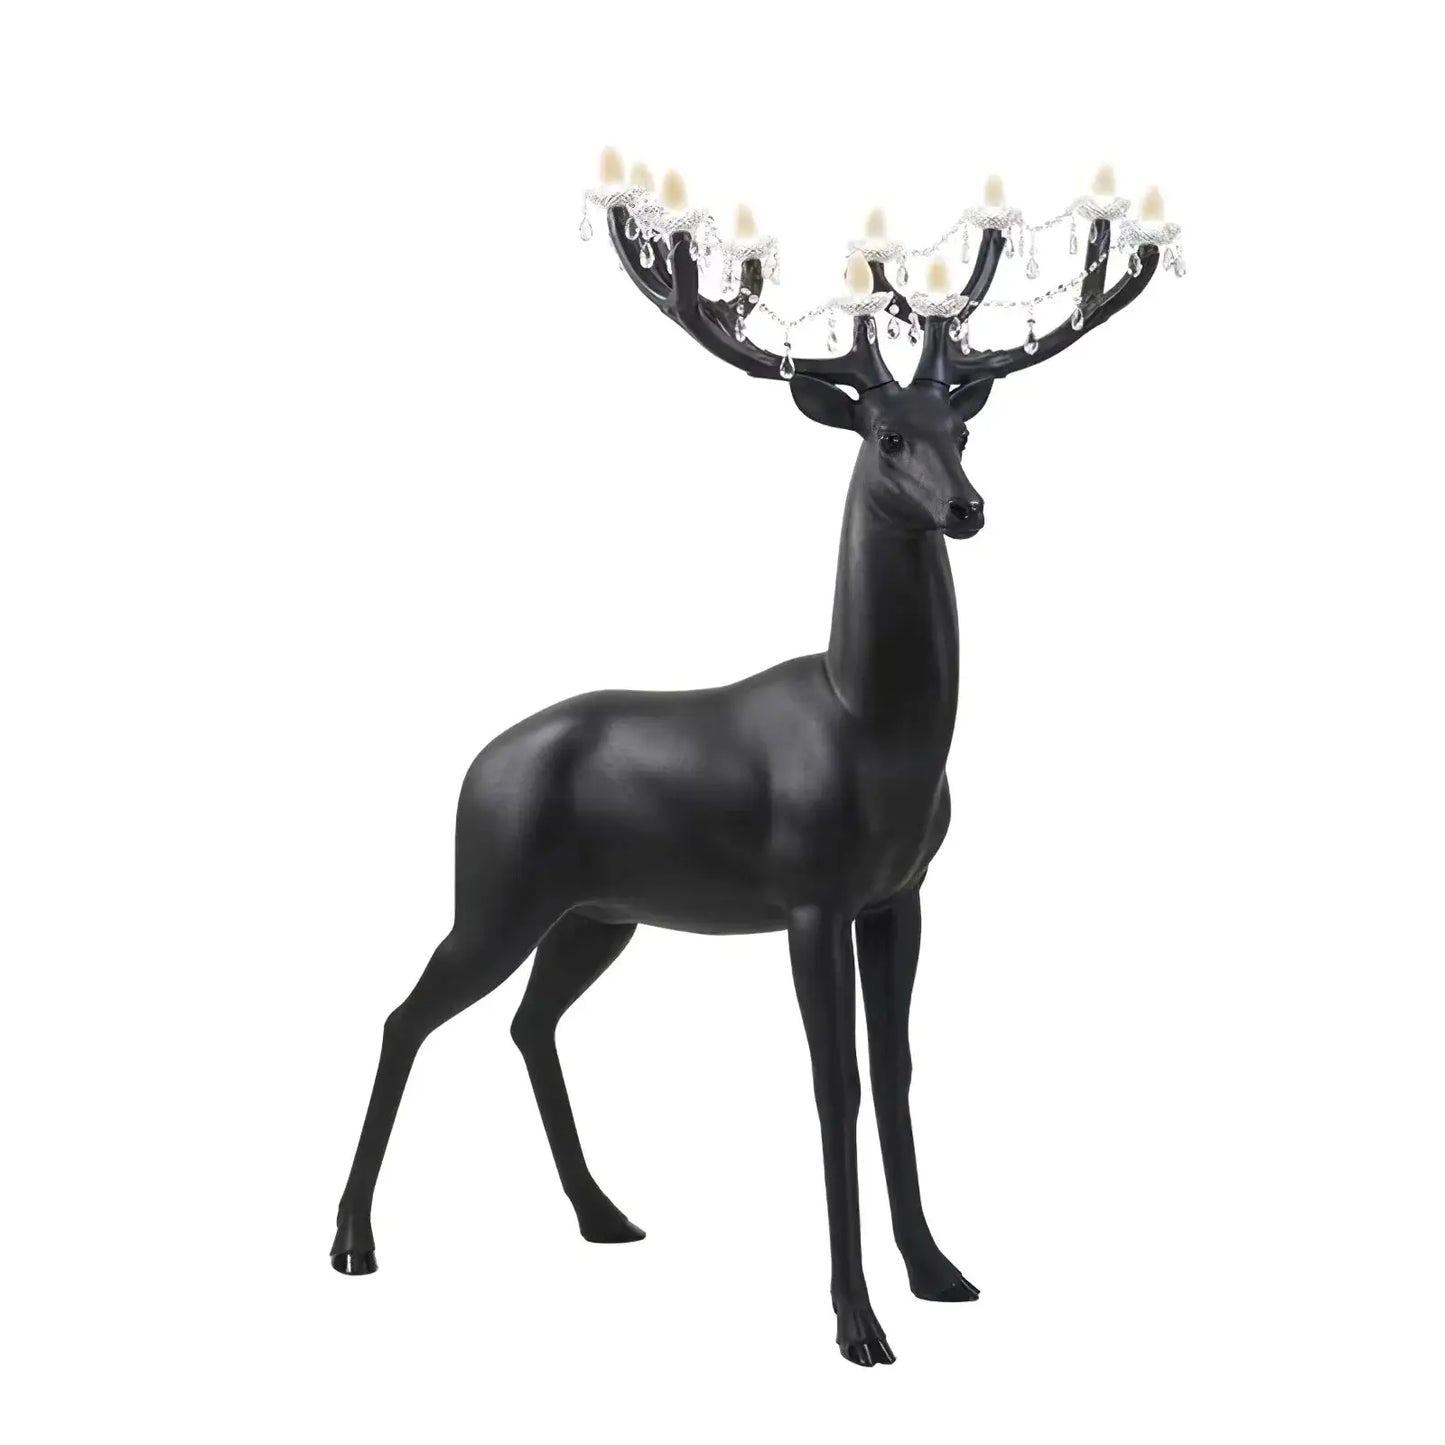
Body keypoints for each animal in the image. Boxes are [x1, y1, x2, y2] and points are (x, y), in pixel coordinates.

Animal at [330, 177, 1161, 1366]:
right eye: (886, 436)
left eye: (960, 427)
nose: (967, 506)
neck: (873, 727)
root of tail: (473, 767)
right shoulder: (809, 895)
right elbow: (833, 1080)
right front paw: (856, 1321)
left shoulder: (900, 893)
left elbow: (897, 1068)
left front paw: (938, 1271)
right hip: (492, 891)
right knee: (405, 1015)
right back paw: (353, 1240)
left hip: (598, 912)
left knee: (528, 1021)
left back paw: (604, 1212)